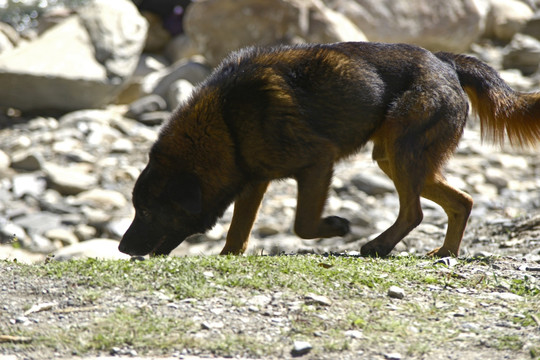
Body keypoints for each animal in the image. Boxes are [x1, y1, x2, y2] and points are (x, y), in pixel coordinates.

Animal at [118, 40, 540, 258]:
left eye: (147, 211)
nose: (122, 248)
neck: (225, 122)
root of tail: (446, 61)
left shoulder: (317, 163)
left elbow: (302, 225)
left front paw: (336, 227)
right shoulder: (254, 180)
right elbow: (238, 232)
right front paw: (228, 259)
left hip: (403, 153)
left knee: (416, 211)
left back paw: (379, 245)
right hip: (395, 157)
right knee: (461, 201)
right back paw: (444, 252)